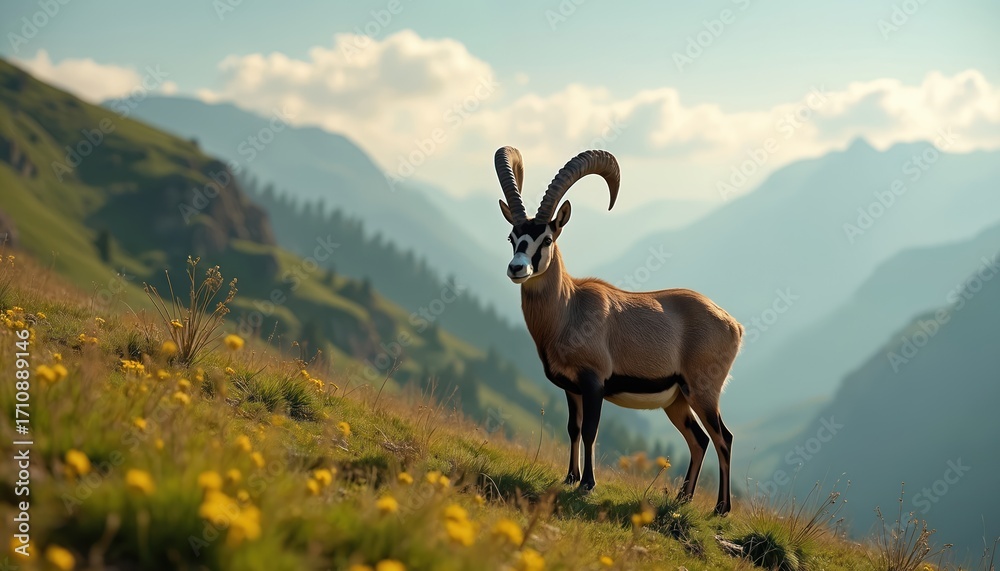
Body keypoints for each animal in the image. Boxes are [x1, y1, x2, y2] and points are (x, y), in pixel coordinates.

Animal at [494, 146, 744, 515]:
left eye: (547, 238)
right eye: (512, 236)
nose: (517, 269)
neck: (570, 306)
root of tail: (732, 324)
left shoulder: (594, 382)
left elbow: (591, 431)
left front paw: (587, 484)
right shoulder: (572, 388)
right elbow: (573, 428)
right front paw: (570, 477)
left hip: (703, 392)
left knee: (722, 437)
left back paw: (721, 508)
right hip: (677, 401)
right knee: (699, 440)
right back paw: (683, 498)